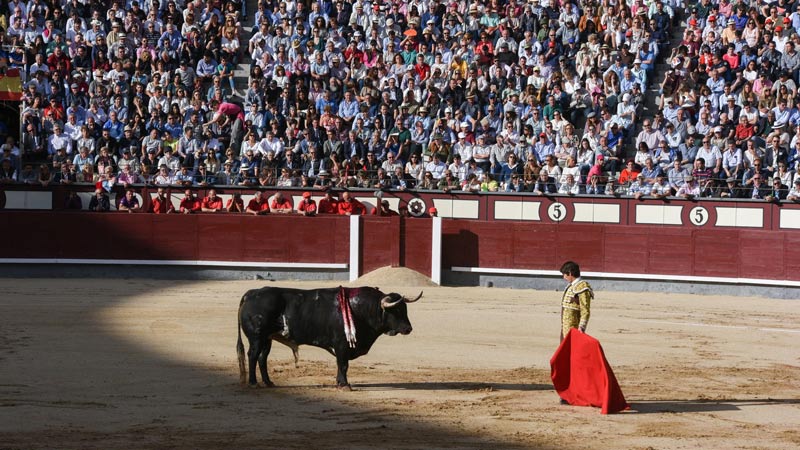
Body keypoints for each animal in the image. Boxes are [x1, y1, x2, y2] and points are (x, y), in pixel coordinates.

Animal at [238, 288, 422, 386]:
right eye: (396, 310)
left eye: (405, 309)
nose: (408, 328)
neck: (363, 309)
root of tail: (252, 293)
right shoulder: (342, 344)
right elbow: (343, 365)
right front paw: (345, 384)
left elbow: (340, 365)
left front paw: (340, 382)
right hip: (257, 337)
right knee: (253, 355)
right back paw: (253, 382)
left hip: (267, 338)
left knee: (262, 358)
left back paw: (269, 383)